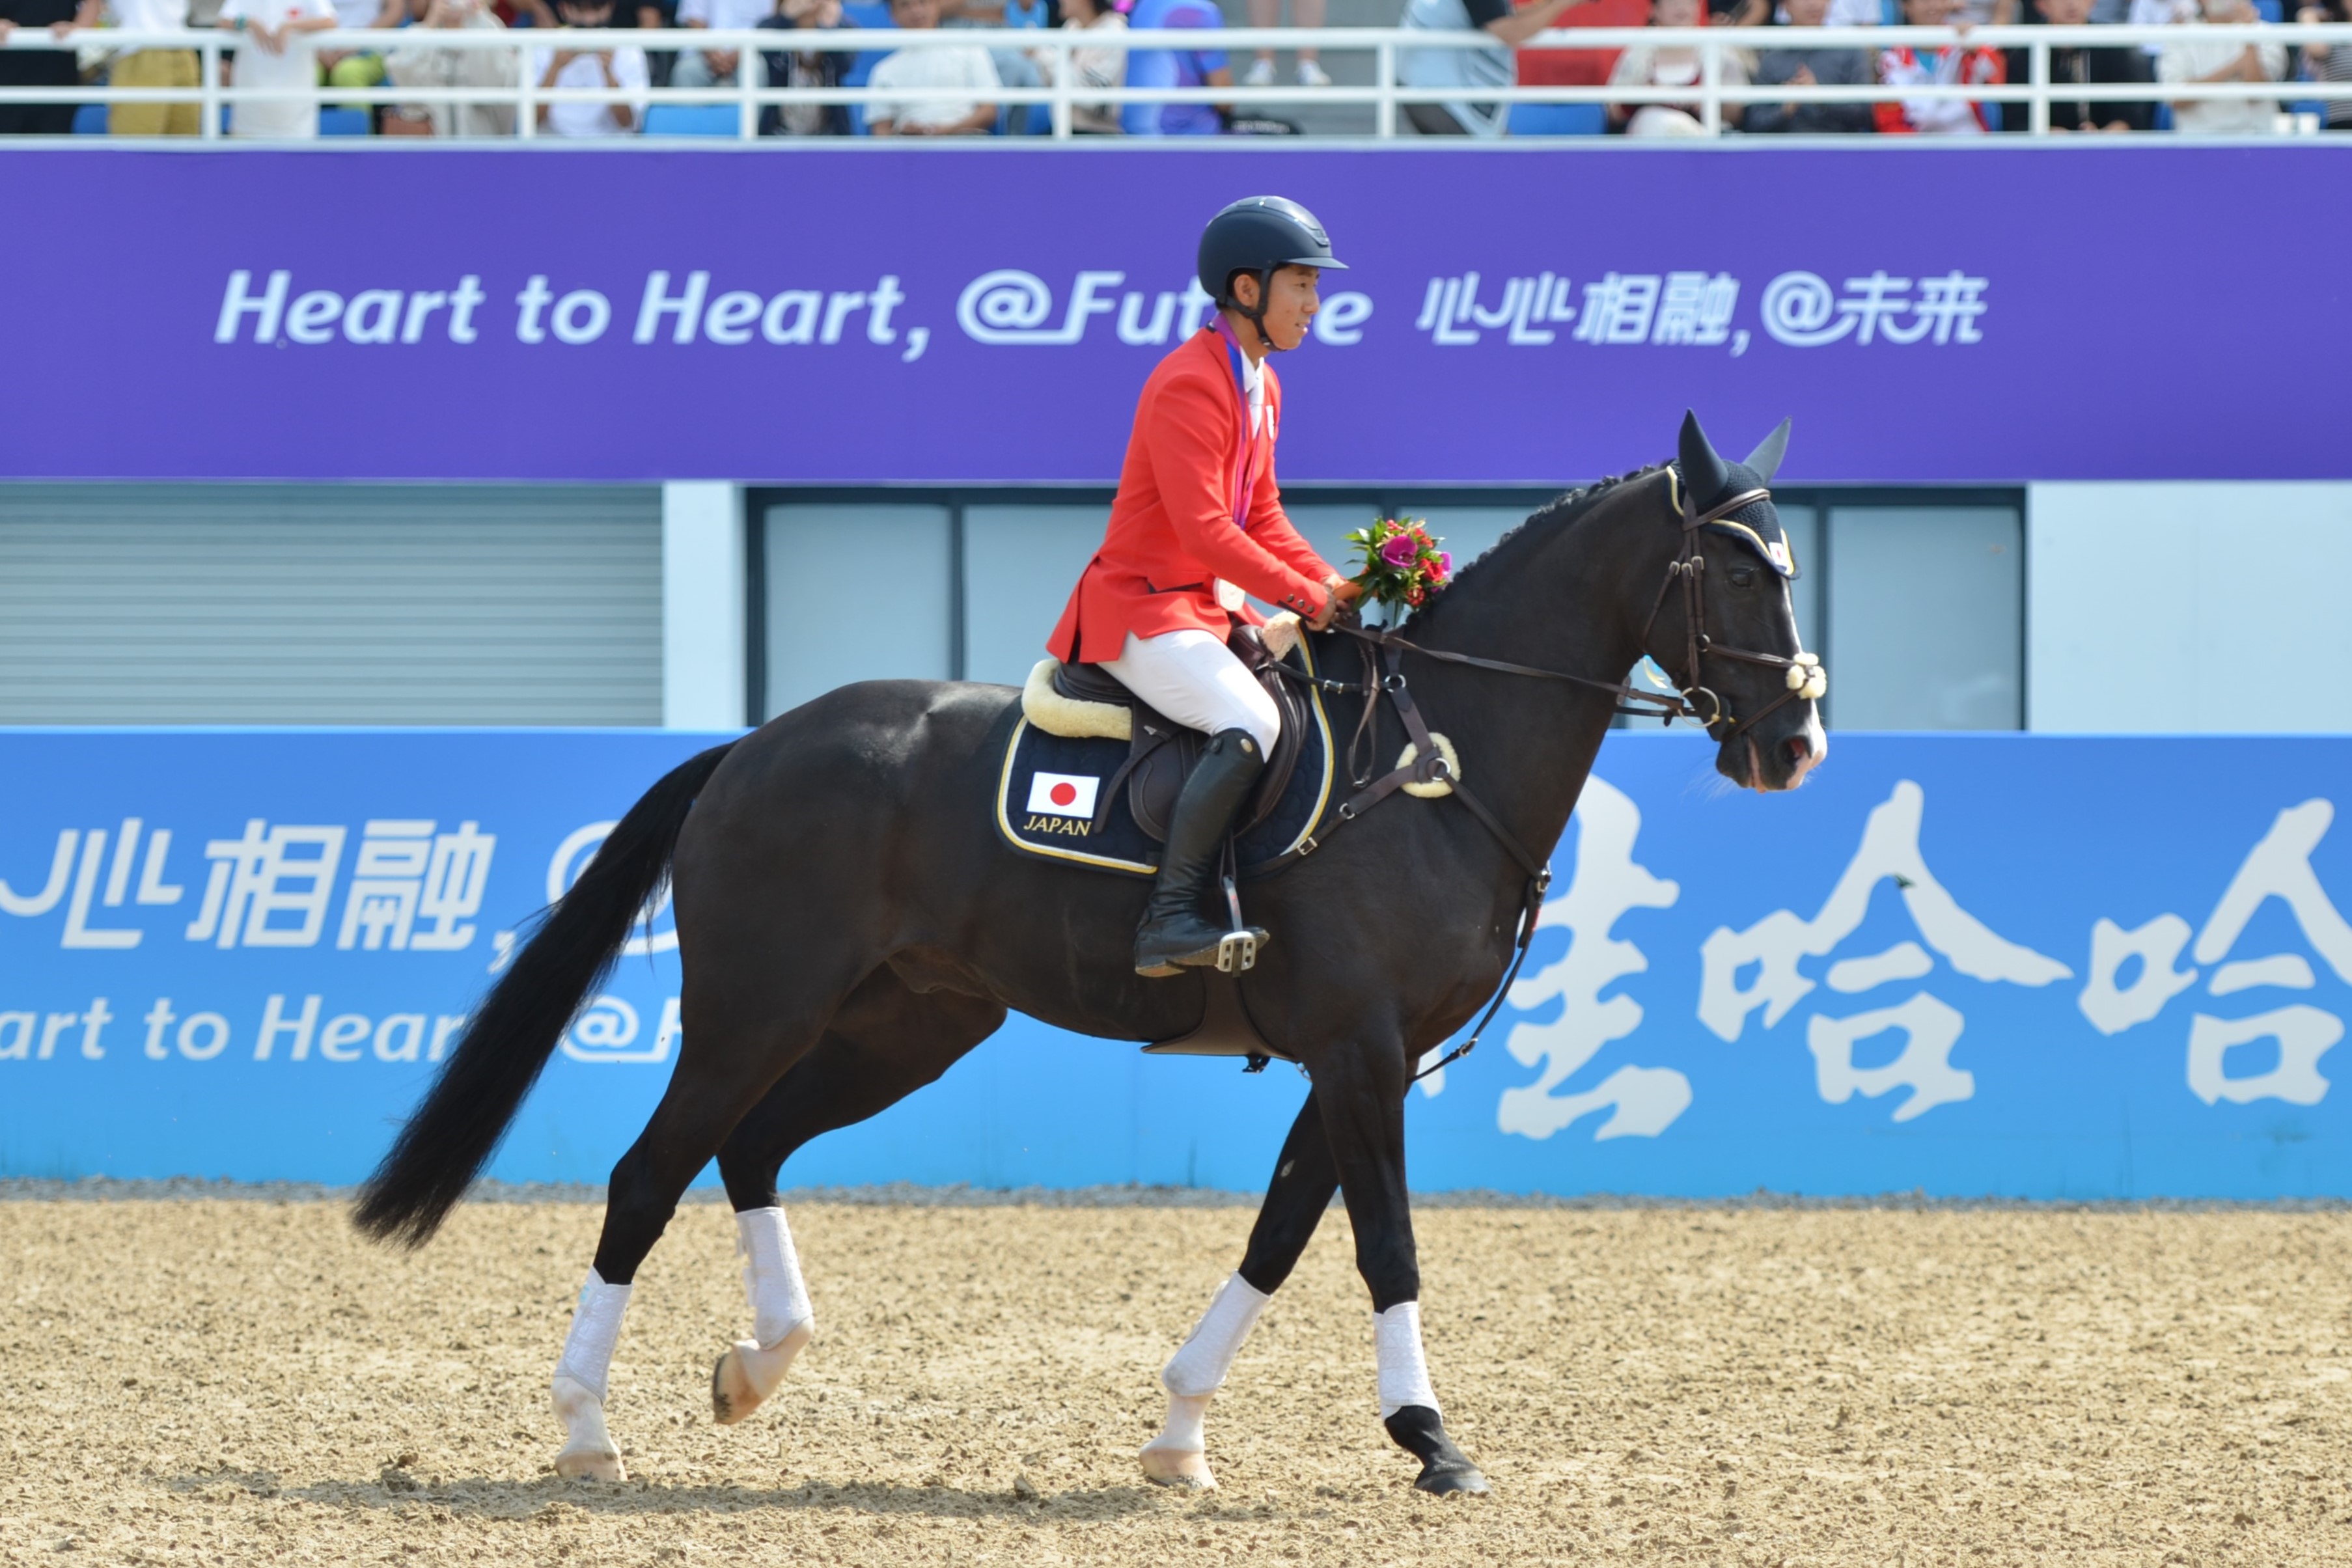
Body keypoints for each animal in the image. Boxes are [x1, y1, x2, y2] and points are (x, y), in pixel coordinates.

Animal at [352, 410, 1826, 1498]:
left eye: (1789, 567)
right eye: (1736, 571)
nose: (1793, 743)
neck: (1434, 760)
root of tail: (754, 746)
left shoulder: (1358, 1059)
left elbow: (1281, 1234)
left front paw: (1178, 1435)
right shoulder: (1360, 1051)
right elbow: (1385, 1244)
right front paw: (1432, 1439)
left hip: (908, 1025)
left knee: (750, 1147)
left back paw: (757, 1365)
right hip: (753, 1009)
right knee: (648, 1173)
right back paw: (586, 1426)